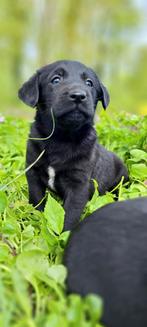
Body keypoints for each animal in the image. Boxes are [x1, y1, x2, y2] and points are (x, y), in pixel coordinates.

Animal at [18, 60, 129, 231]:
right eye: (56, 80)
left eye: (89, 83)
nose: (78, 95)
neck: (61, 138)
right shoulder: (33, 172)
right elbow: (37, 201)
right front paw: (37, 221)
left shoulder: (78, 183)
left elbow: (70, 214)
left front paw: (65, 234)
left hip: (121, 181)